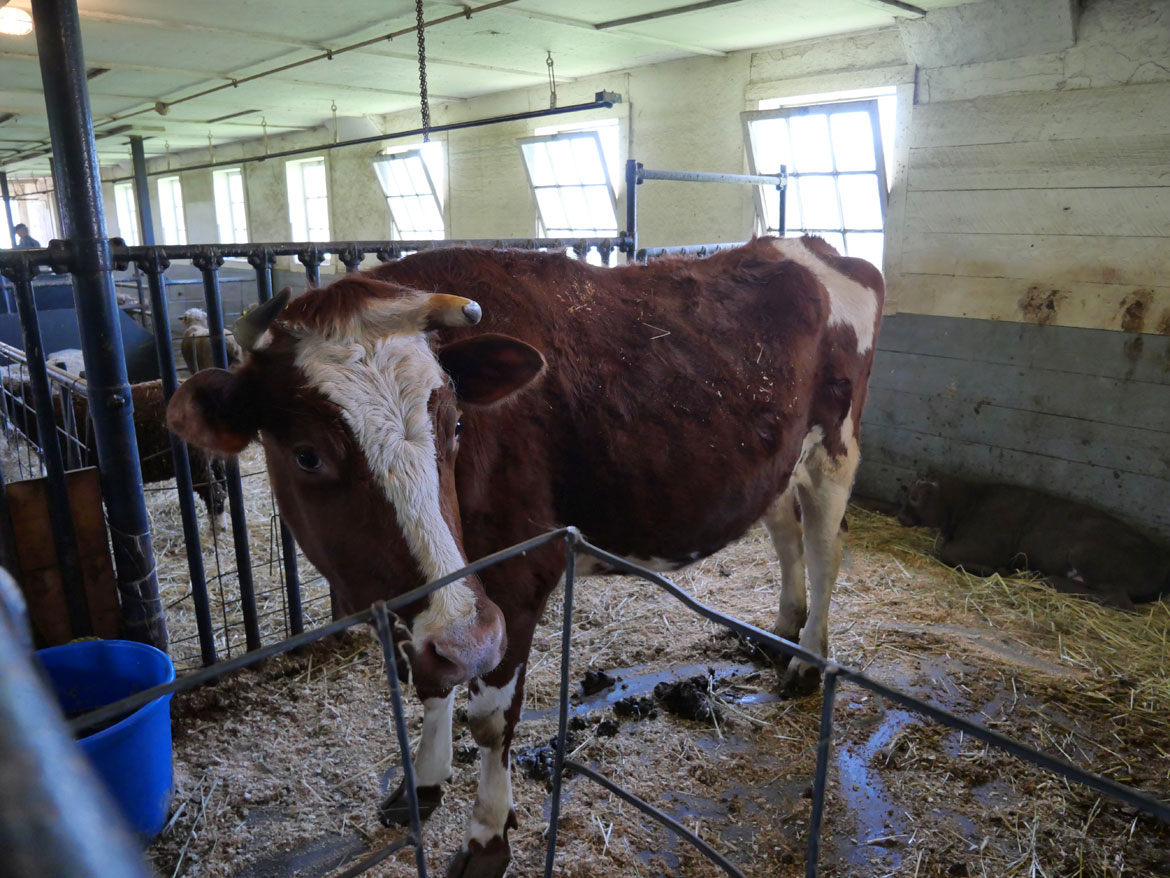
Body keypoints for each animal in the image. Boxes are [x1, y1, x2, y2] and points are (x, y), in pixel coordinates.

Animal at [166, 236, 884, 876]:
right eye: (307, 454)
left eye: (456, 423)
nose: (469, 638)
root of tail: (811, 247)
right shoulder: (433, 606)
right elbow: (431, 684)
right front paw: (420, 786)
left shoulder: (514, 580)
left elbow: (490, 720)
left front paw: (488, 840)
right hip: (776, 461)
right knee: (785, 531)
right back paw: (780, 631)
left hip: (837, 446)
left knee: (824, 544)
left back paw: (807, 661)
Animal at [898, 475, 1170, 609]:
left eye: (913, 498)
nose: (901, 517)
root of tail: (1161, 564)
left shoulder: (984, 543)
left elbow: (945, 552)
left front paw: (1000, 570)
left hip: (1087, 554)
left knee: (1118, 599)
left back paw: (1047, 579)